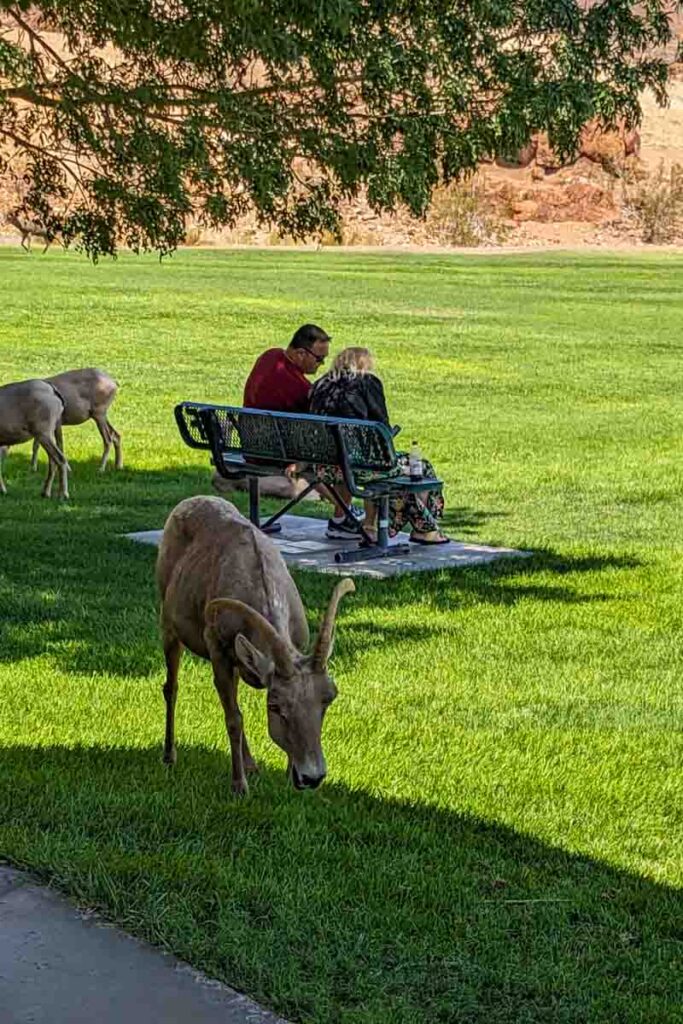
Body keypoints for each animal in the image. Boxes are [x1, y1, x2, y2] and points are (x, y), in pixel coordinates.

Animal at [156, 495, 355, 794]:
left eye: (328, 698)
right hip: (169, 626)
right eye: (275, 707)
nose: (311, 777)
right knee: (172, 687)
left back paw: (251, 764)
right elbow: (234, 718)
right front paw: (240, 786)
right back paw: (170, 755)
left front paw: (283, 775)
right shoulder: (218, 651)